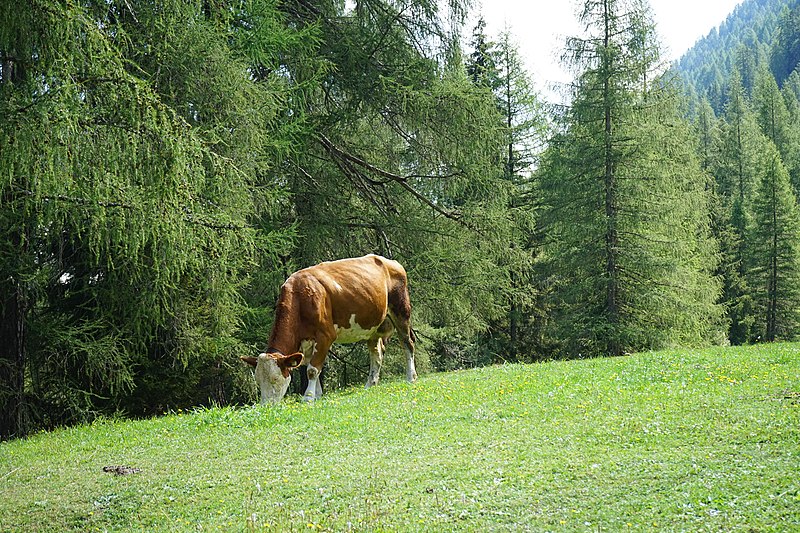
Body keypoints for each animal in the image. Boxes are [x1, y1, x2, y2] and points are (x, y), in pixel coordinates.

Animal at [239, 254, 416, 404]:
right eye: (258, 380)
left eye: (275, 379)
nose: (266, 406)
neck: (300, 298)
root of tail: (390, 261)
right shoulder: (307, 342)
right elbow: (310, 367)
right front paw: (316, 395)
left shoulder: (325, 336)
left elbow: (312, 370)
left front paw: (308, 398)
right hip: (372, 326)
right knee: (377, 353)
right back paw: (370, 384)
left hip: (401, 311)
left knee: (407, 343)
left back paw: (411, 377)